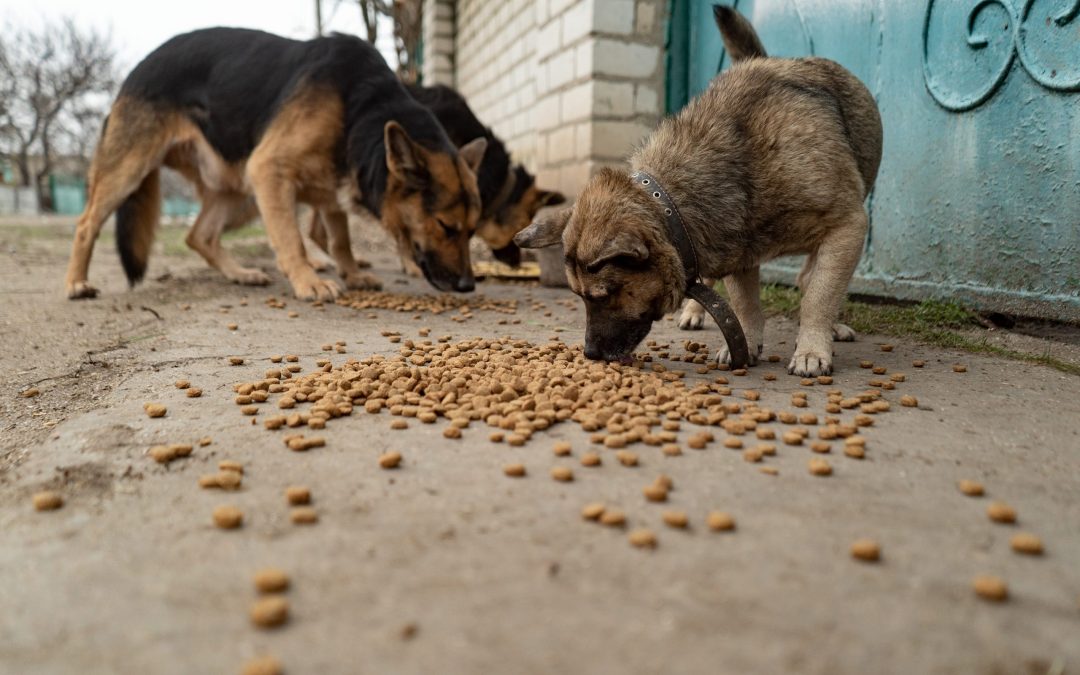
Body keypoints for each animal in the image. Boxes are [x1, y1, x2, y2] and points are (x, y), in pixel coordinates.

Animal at [514, 6, 876, 373]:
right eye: (579, 297)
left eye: (602, 296)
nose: (590, 353)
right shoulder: (737, 247)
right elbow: (745, 305)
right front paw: (745, 343)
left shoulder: (848, 227)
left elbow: (819, 294)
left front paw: (812, 348)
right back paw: (695, 312)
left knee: (811, 278)